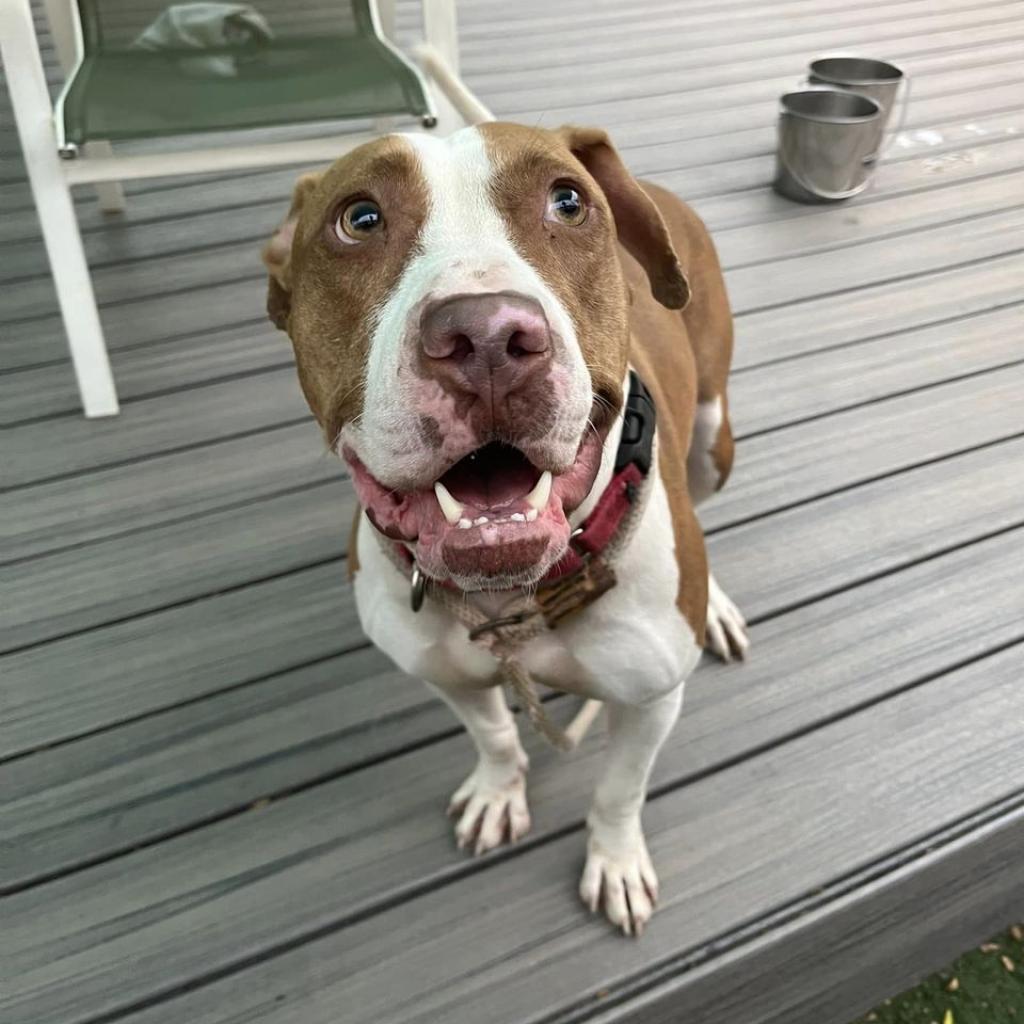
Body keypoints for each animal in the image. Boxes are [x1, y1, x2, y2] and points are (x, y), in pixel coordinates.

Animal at [260, 121, 749, 937]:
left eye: (568, 201)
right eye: (358, 218)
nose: (485, 336)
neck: (513, 597)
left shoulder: (649, 702)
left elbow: (619, 788)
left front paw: (615, 860)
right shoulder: (443, 670)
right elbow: (492, 733)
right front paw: (498, 791)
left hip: (714, 438)